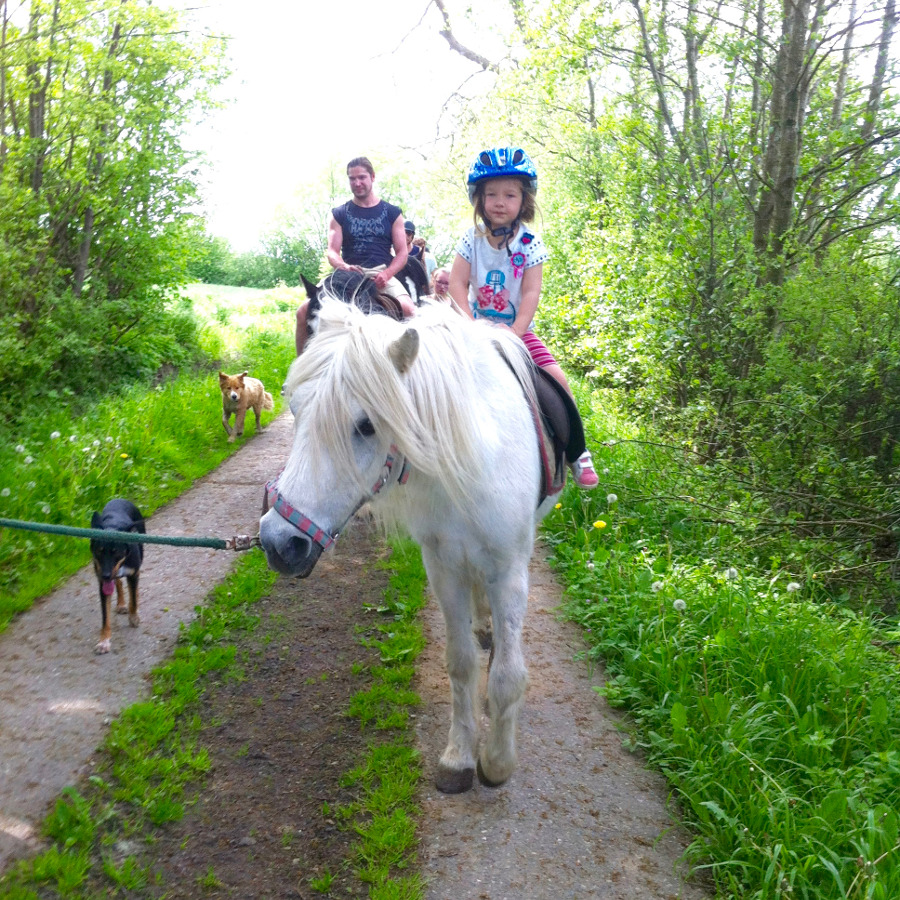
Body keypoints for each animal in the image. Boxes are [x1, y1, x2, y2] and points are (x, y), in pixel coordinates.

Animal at [89, 500, 144, 652]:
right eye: (99, 551)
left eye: (116, 552)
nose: (106, 575)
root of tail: (119, 499)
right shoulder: (102, 583)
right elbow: (105, 616)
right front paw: (104, 641)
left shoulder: (132, 573)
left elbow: (134, 600)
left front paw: (134, 617)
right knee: (118, 583)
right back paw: (121, 604)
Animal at [256, 296, 560, 796]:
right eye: (295, 409)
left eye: (366, 425)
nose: (279, 542)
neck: (473, 456)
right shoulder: (443, 566)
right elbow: (460, 663)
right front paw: (459, 758)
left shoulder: (511, 571)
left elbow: (506, 676)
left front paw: (497, 763)